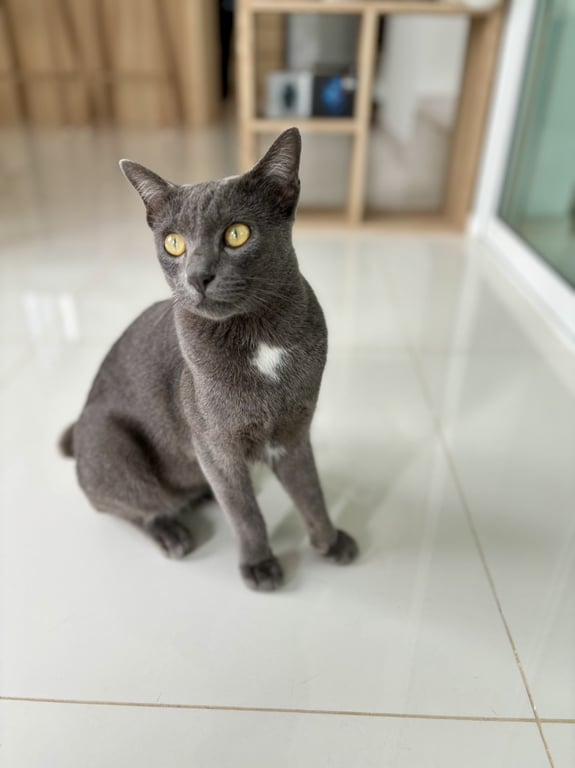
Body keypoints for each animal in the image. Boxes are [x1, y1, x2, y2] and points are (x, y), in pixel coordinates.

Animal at [59, 128, 358, 591]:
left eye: (237, 234)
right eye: (174, 243)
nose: (197, 276)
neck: (258, 335)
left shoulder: (293, 431)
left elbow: (311, 491)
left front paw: (329, 541)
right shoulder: (216, 443)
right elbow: (245, 512)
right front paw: (259, 565)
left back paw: (202, 495)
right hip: (110, 441)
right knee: (132, 505)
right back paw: (172, 532)